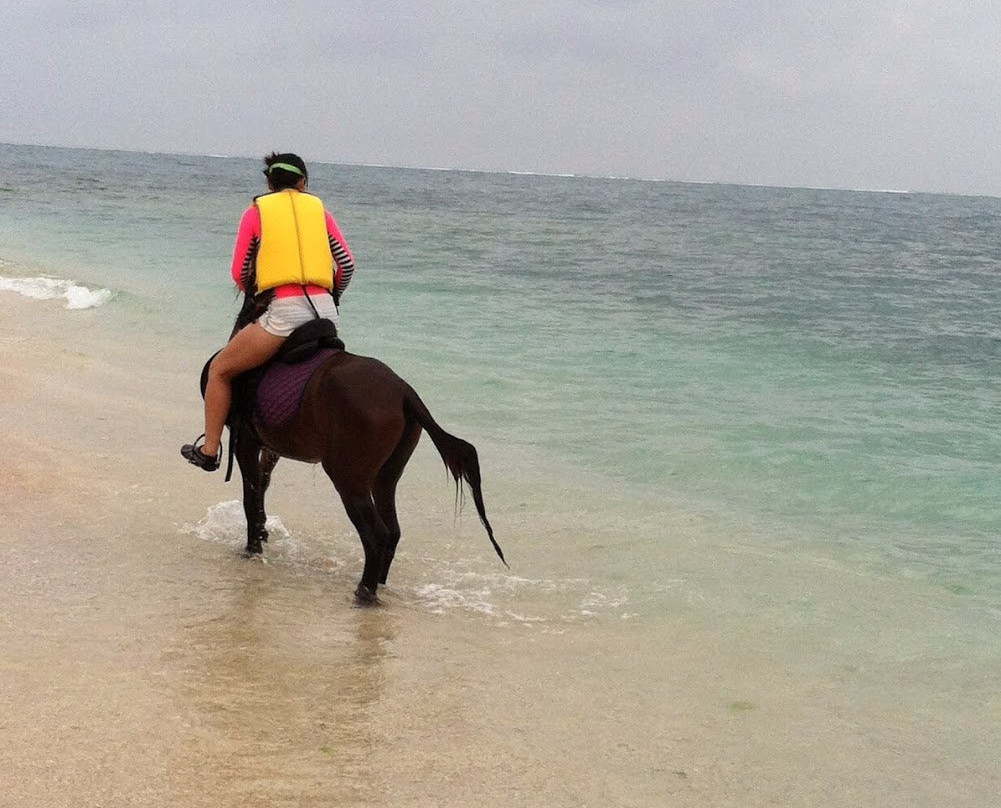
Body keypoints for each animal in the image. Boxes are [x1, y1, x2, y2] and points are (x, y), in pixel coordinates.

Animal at [211, 293, 507, 606]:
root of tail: (404, 391)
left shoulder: (246, 442)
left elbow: (250, 496)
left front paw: (253, 549)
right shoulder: (269, 448)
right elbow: (261, 490)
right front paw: (262, 533)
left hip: (348, 478)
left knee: (377, 534)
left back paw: (365, 593)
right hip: (385, 477)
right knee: (392, 530)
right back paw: (378, 584)